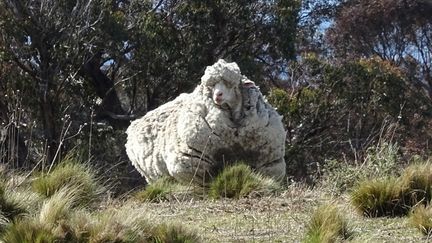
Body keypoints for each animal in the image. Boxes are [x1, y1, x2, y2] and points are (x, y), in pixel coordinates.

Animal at [125, 59, 286, 184]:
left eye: (231, 84)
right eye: (211, 86)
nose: (218, 95)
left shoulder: (269, 163)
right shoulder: (192, 163)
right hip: (152, 175)